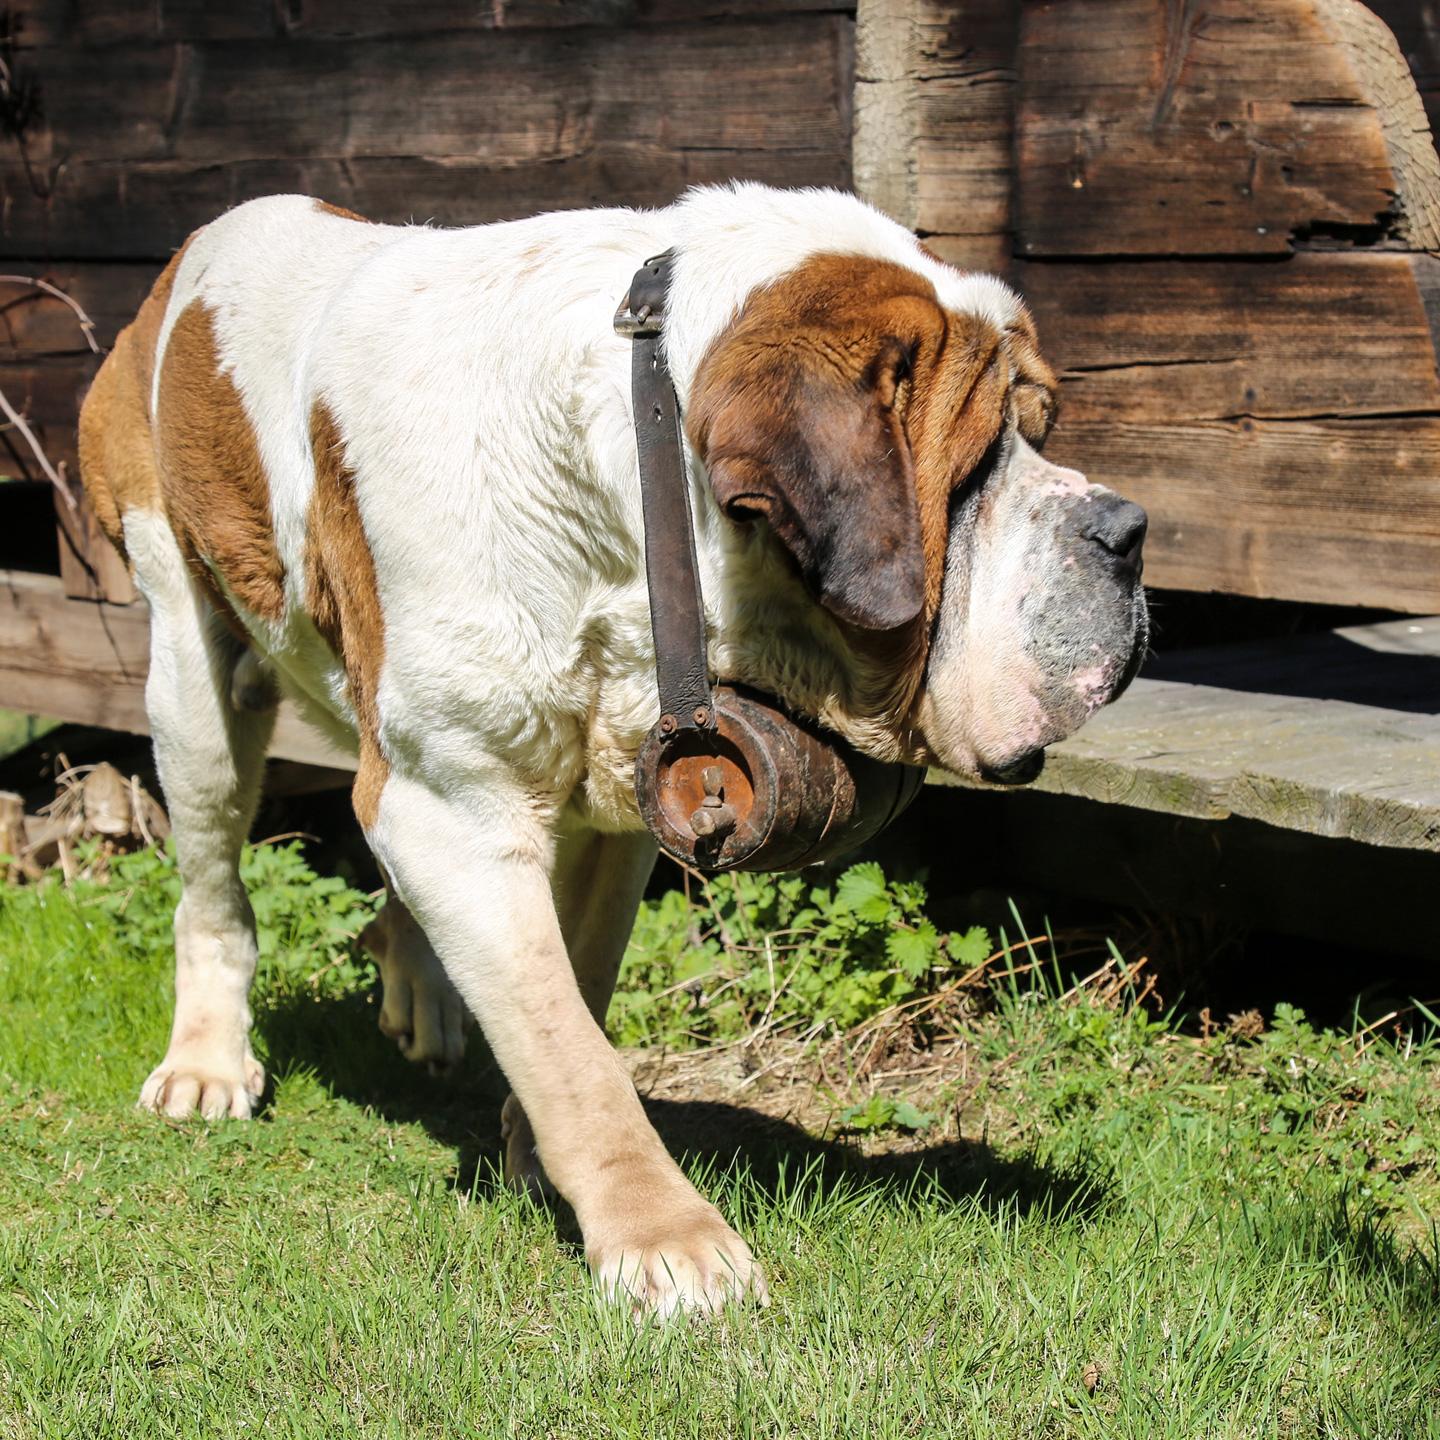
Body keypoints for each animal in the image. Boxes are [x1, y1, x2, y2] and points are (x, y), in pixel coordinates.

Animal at [84, 182, 1152, 1319]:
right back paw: (207, 1063)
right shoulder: (455, 805)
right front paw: (665, 1237)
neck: (630, 483)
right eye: (978, 462)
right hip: (189, 677)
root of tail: (188, 256)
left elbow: (575, 994)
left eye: (1037, 432)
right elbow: (566, 1046)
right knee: (211, 881)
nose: (1130, 532)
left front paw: (532, 1154)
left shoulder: (622, 804)